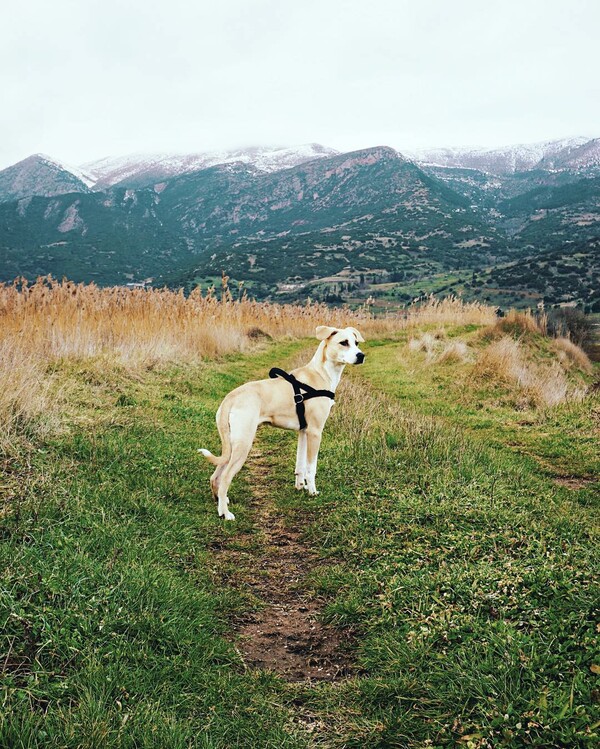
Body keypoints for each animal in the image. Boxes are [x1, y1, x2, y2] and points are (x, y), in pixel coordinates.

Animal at [199, 324, 366, 516]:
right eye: (343, 342)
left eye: (356, 342)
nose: (361, 355)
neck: (320, 373)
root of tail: (230, 397)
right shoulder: (315, 432)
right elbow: (311, 467)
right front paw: (312, 491)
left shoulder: (304, 432)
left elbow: (300, 465)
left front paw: (300, 486)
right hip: (243, 443)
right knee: (226, 477)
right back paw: (225, 513)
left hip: (231, 444)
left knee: (216, 476)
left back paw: (221, 501)